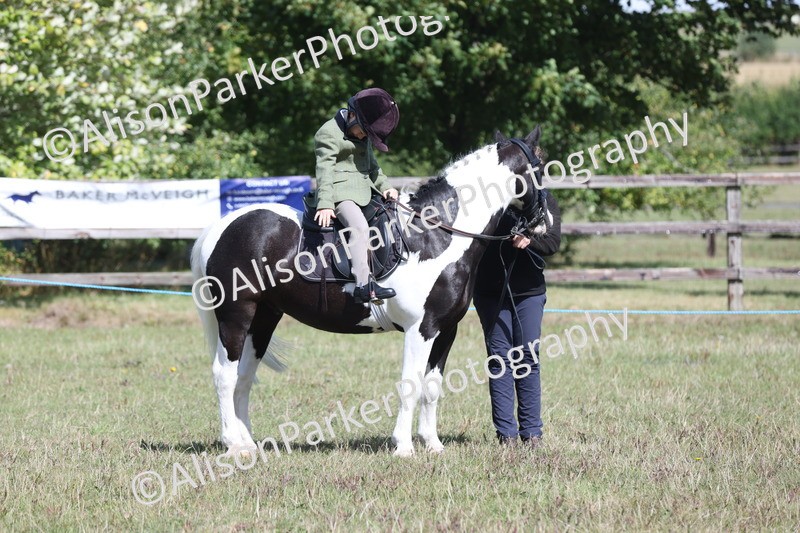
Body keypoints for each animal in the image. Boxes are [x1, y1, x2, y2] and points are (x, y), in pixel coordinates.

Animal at [190, 127, 551, 457]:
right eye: (541, 167)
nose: (544, 223)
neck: (434, 234)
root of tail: (218, 229)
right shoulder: (420, 329)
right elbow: (410, 384)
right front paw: (404, 446)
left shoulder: (446, 330)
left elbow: (432, 388)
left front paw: (433, 445)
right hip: (236, 315)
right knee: (224, 375)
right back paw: (233, 444)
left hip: (264, 317)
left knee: (244, 377)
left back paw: (248, 445)